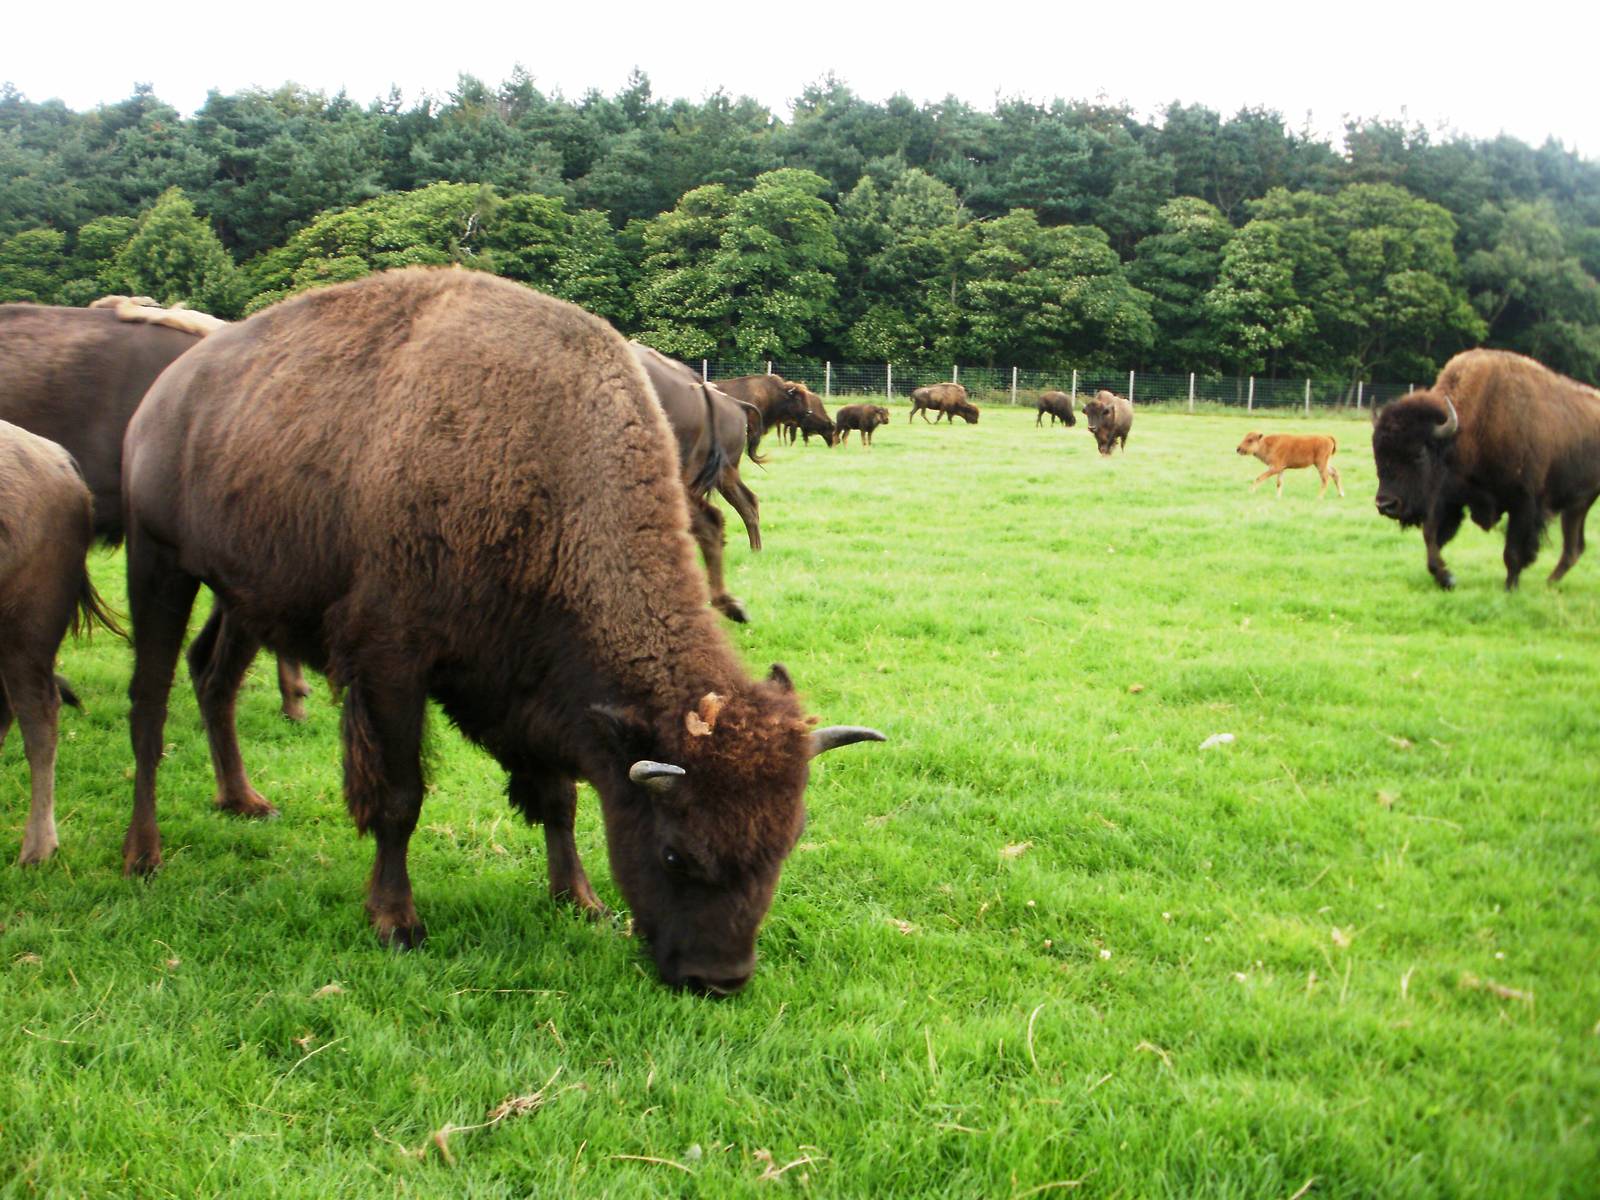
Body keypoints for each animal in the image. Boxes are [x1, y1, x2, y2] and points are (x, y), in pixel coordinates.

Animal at [119, 268, 883, 992]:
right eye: (674, 850)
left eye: (785, 844)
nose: (718, 977)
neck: (540, 466)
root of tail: (165, 393)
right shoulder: (391, 665)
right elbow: (400, 797)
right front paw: (396, 921)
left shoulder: (534, 684)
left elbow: (559, 799)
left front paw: (580, 900)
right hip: (158, 563)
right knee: (149, 706)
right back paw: (142, 856)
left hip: (242, 595)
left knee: (213, 676)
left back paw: (243, 801)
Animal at [1372, 348, 1600, 589]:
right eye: (1377, 453)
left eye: (1419, 454)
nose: (1385, 504)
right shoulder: (1448, 497)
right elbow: (1431, 536)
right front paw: (1446, 578)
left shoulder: (1523, 503)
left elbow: (1513, 551)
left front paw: (1510, 588)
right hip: (1578, 505)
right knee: (1574, 548)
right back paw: (1549, 584)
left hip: (1576, 505)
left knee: (1571, 547)